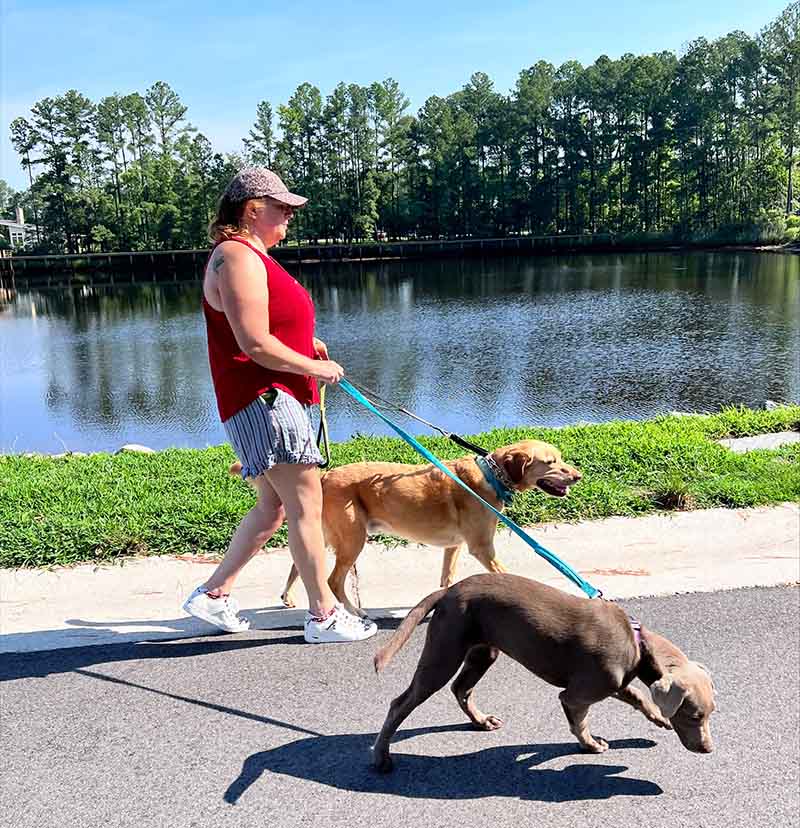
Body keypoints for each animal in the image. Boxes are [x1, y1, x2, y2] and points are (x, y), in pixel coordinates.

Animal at [266, 440, 580, 616]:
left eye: (560, 458)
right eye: (550, 462)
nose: (578, 476)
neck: (492, 475)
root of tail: (326, 475)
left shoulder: (454, 546)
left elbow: (447, 578)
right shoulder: (482, 548)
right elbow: (504, 574)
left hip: (326, 533)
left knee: (298, 563)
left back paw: (288, 597)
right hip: (353, 539)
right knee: (333, 581)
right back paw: (356, 612)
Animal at [372, 572, 716, 772]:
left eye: (711, 713)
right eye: (694, 716)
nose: (708, 749)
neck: (637, 642)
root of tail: (448, 590)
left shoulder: (615, 682)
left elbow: (638, 697)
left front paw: (658, 718)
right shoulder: (577, 695)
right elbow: (580, 724)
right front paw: (591, 745)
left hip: (483, 650)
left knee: (461, 689)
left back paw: (482, 721)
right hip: (444, 654)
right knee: (400, 703)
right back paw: (381, 756)